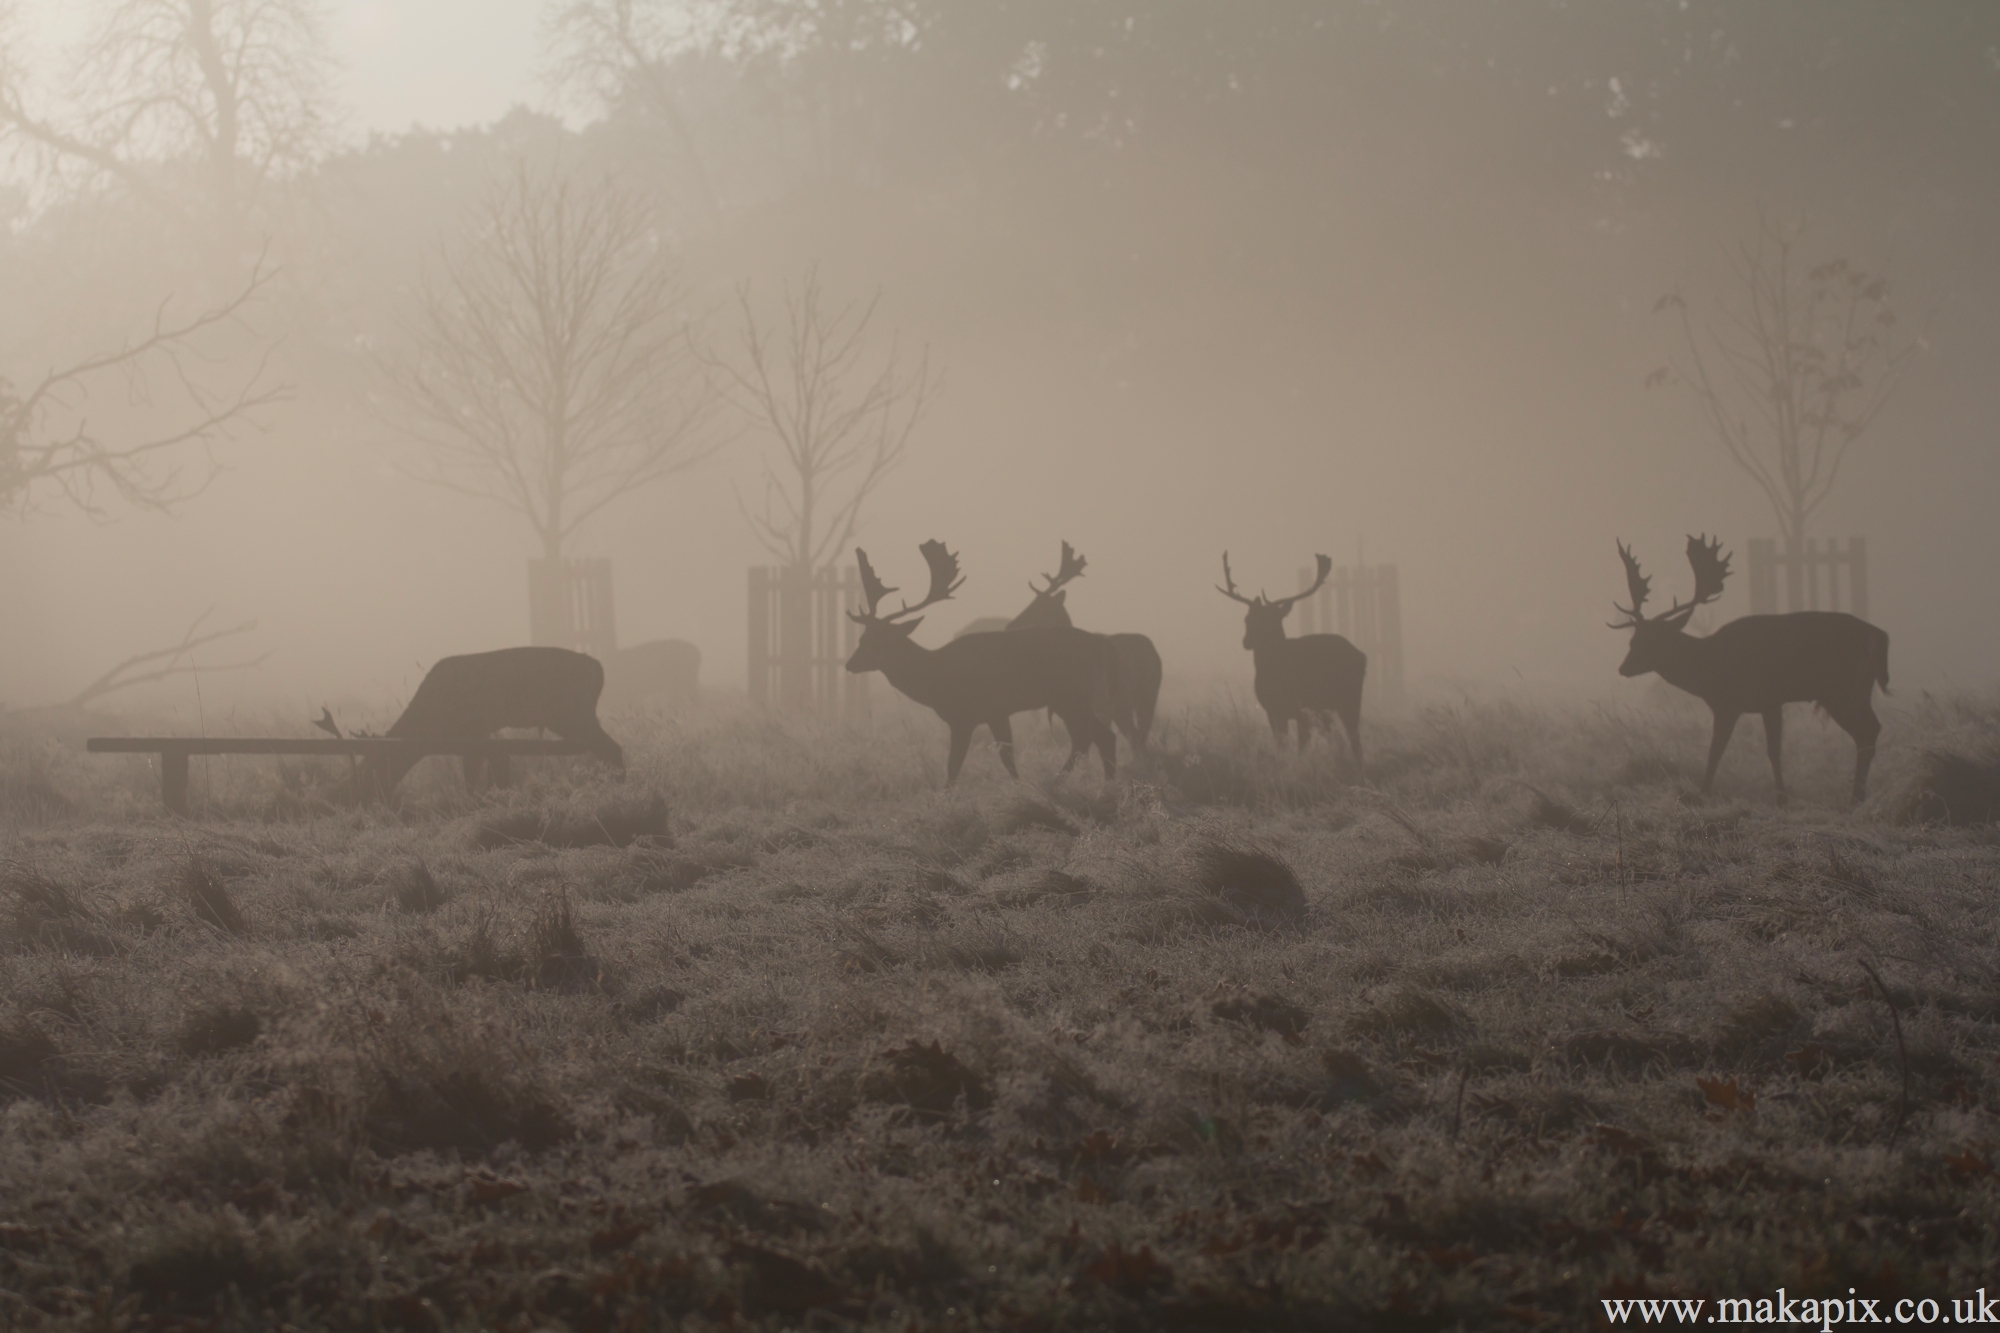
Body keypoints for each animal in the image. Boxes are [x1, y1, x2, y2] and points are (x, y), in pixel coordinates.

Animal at [358, 644, 624, 800]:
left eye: (376, 765)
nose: (360, 794)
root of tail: (598, 669)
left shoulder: (474, 732)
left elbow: (472, 775)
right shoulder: (480, 737)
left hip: (575, 716)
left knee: (612, 748)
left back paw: (614, 788)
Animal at [844, 540, 1128, 784]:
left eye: (880, 640)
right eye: (862, 637)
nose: (849, 664)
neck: (935, 677)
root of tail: (1101, 644)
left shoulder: (980, 712)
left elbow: (964, 764)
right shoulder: (981, 715)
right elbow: (984, 761)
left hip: (1071, 694)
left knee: (1103, 736)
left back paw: (1101, 787)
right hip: (1068, 699)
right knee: (1085, 738)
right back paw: (1063, 782)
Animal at [1008, 536, 1168, 748]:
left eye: (1039, 605)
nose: (1011, 624)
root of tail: (1150, 656)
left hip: (1122, 700)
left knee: (1134, 736)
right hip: (1148, 695)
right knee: (1140, 735)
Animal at [1208, 548, 1368, 764]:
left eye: (1272, 620)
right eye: (1247, 618)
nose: (1246, 642)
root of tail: (1362, 656)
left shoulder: (1302, 708)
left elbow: (1300, 747)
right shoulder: (1273, 710)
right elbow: (1281, 746)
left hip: (1348, 698)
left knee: (1355, 739)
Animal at [1608, 528, 1888, 800]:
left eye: (1651, 641)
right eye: (1633, 639)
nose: (1623, 668)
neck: (1706, 667)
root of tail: (1880, 635)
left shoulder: (1731, 703)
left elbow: (1716, 750)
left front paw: (1704, 792)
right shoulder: (1769, 702)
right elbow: (1773, 750)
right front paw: (1781, 797)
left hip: (1842, 689)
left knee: (1868, 730)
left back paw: (1856, 796)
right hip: (1854, 690)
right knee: (1869, 731)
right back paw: (1858, 794)